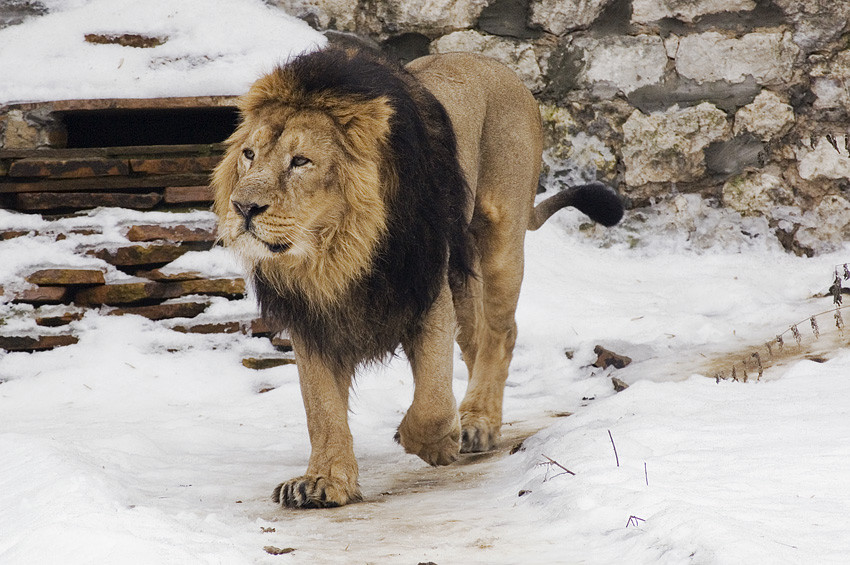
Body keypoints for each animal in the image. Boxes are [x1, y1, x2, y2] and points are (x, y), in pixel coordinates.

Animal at [212, 47, 624, 506]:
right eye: (249, 155)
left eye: (300, 161)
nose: (242, 207)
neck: (334, 253)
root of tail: (490, 61)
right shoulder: (312, 318)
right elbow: (321, 408)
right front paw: (323, 480)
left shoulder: (427, 292)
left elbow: (431, 403)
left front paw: (439, 443)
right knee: (476, 338)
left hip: (501, 236)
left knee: (501, 334)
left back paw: (477, 422)